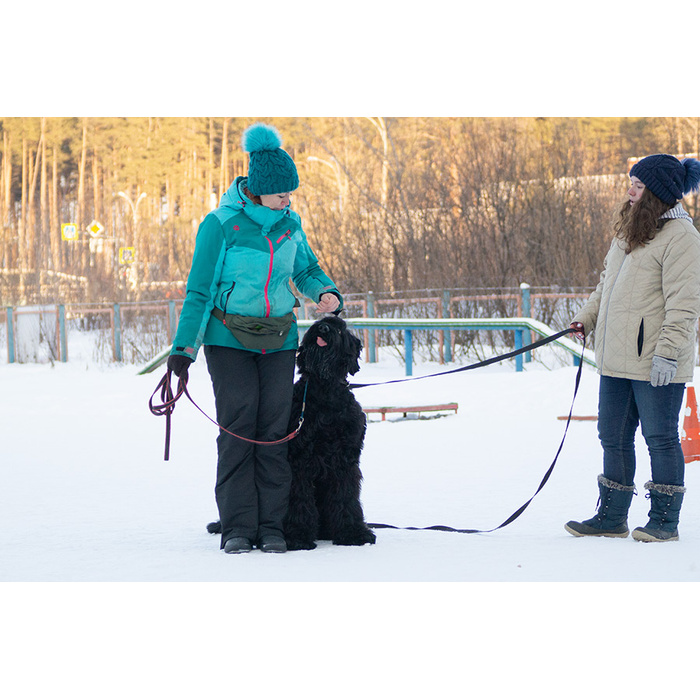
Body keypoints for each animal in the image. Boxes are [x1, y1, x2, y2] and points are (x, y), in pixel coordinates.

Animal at [206, 318, 378, 552]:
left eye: (341, 328)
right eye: (320, 322)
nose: (323, 328)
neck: (324, 393)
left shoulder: (345, 460)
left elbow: (346, 496)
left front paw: (353, 533)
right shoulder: (299, 460)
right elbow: (299, 498)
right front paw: (297, 536)